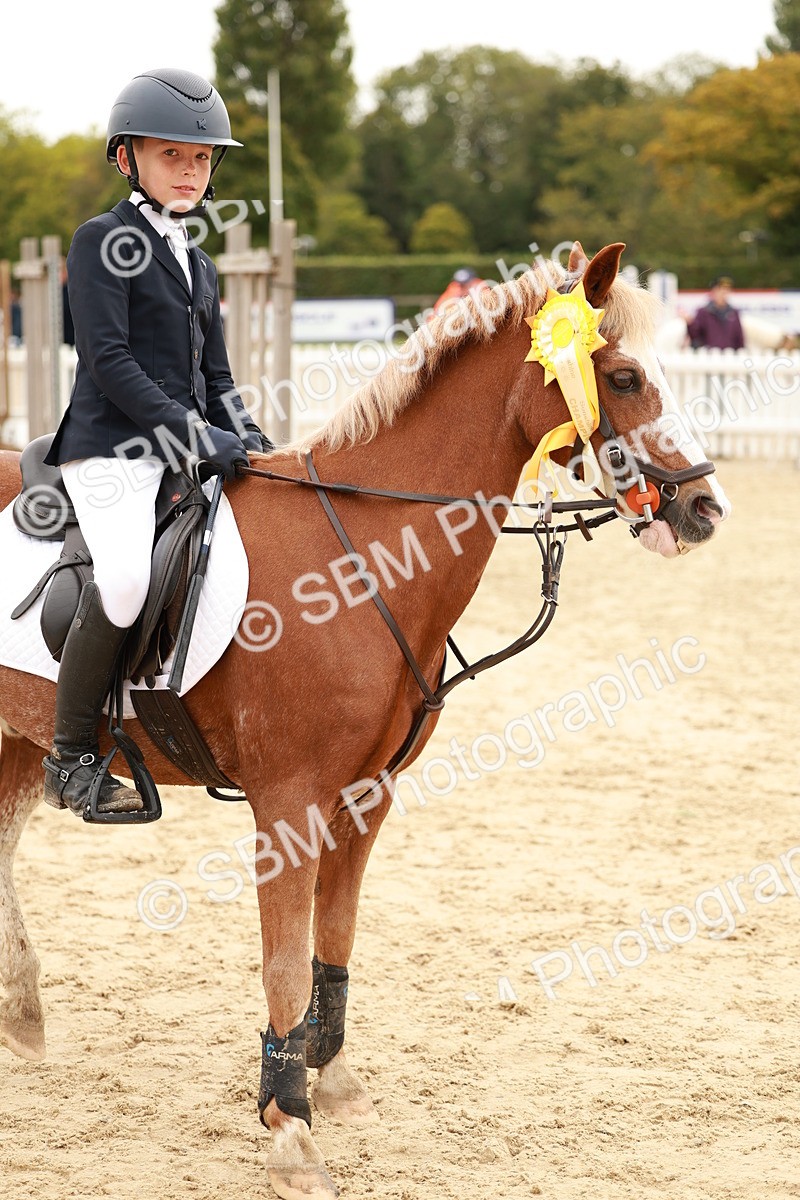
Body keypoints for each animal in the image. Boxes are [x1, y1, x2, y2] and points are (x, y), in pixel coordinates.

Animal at [0, 241, 730, 1200]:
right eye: (624, 375)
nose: (705, 509)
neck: (361, 553)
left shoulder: (366, 795)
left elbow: (335, 935)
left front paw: (332, 1080)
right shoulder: (288, 802)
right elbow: (282, 956)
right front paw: (288, 1128)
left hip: (16, 743)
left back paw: (21, 1013)